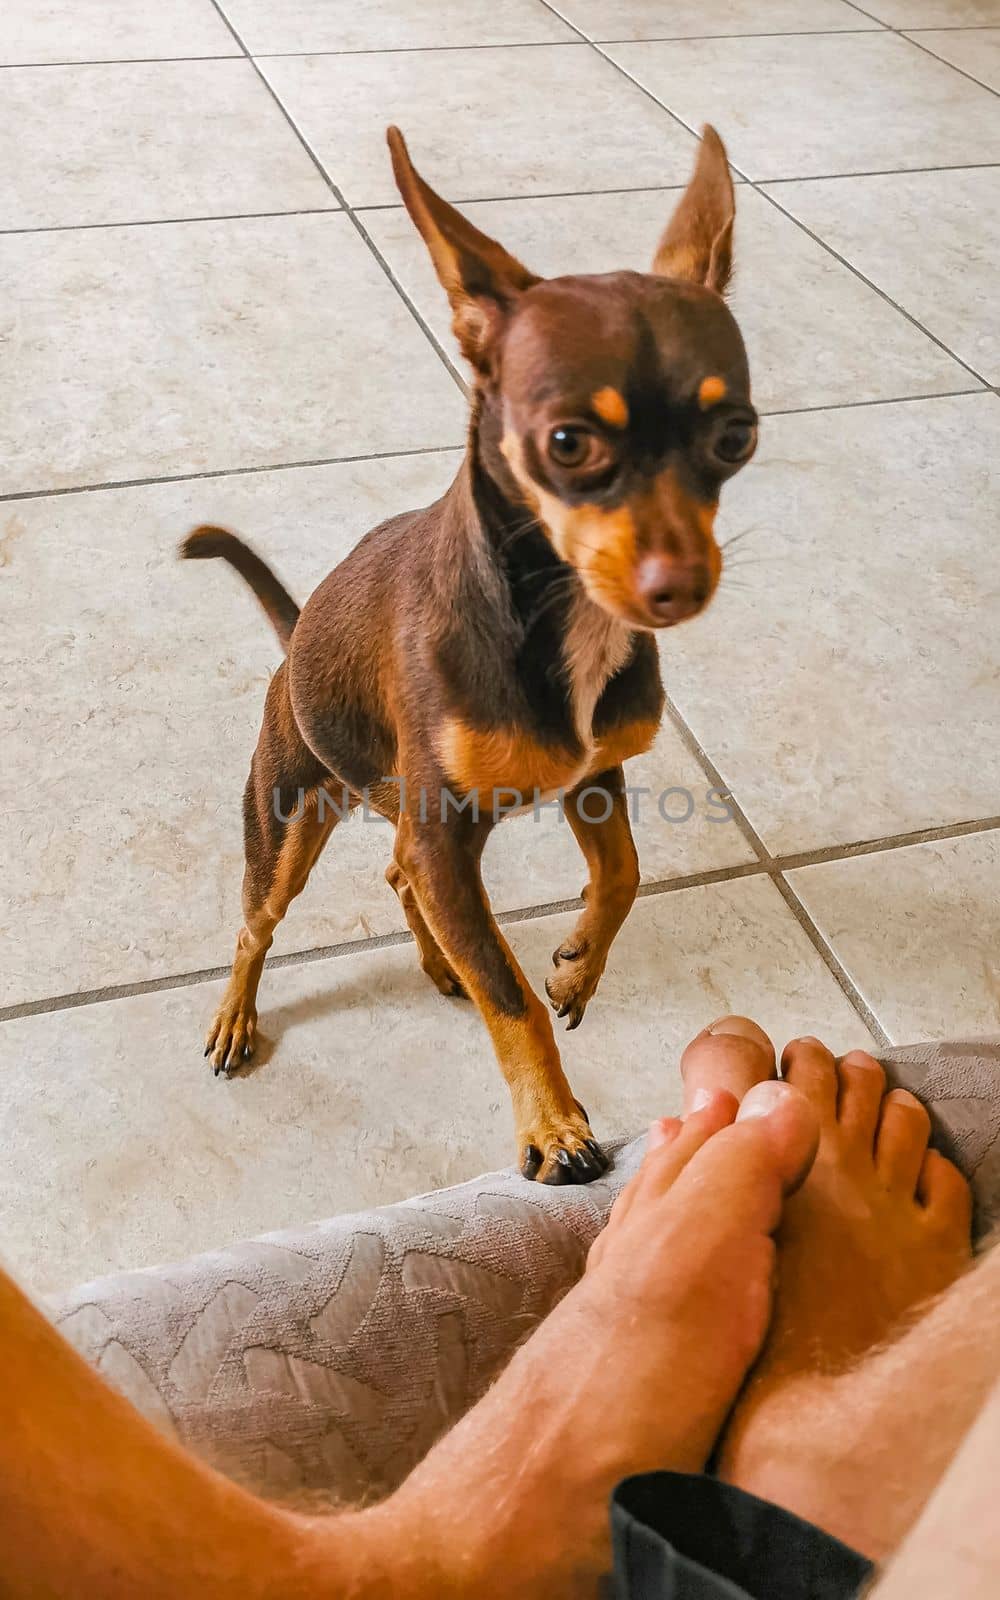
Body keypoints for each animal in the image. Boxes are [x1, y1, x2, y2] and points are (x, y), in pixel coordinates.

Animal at [181, 124, 755, 1184]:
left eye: (735, 435)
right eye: (567, 442)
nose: (680, 589)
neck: (558, 620)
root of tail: (296, 639)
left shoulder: (590, 779)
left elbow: (622, 876)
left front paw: (576, 965)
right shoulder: (445, 831)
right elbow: (508, 993)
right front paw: (554, 1126)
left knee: (397, 876)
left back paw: (436, 956)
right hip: (289, 815)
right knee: (256, 924)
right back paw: (239, 1015)